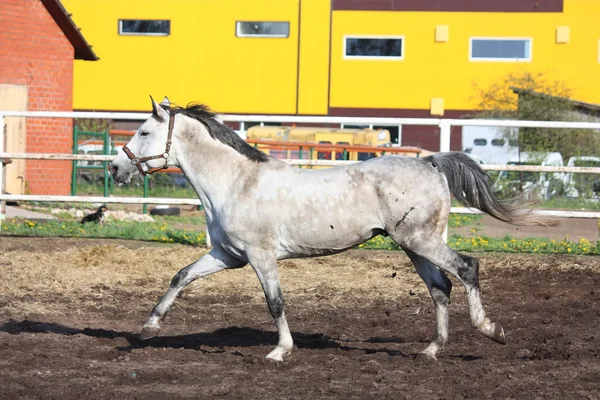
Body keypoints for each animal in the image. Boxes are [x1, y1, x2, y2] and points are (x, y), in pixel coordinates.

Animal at [109, 97, 552, 362]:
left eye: (144, 132)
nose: (115, 167)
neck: (236, 182)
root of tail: (429, 162)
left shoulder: (260, 257)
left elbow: (275, 303)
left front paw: (280, 351)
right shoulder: (228, 256)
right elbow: (181, 276)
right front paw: (148, 328)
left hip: (421, 240)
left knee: (466, 269)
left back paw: (491, 330)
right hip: (413, 245)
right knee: (440, 288)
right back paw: (430, 349)